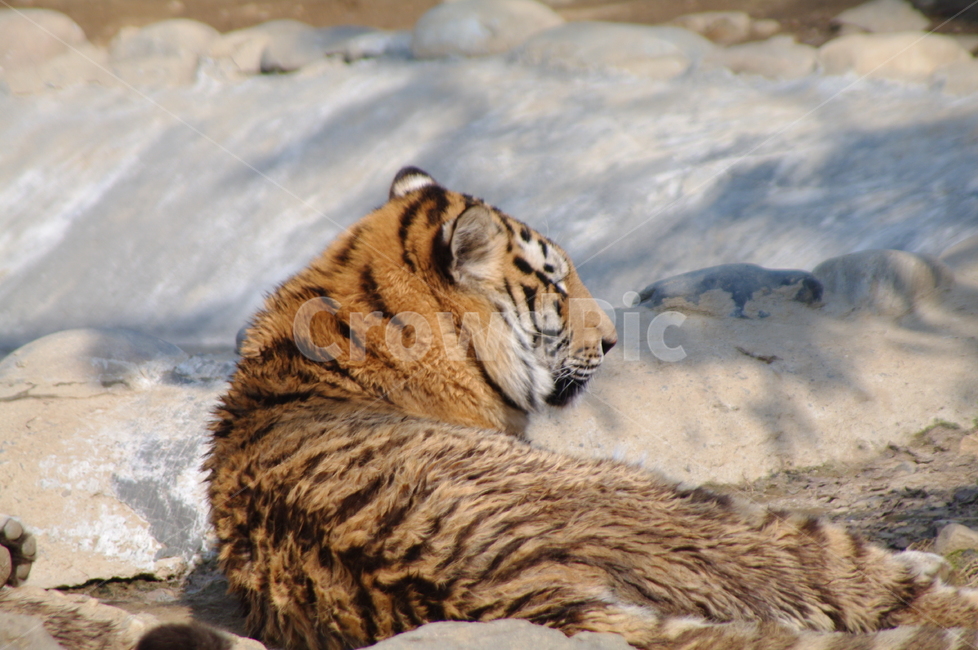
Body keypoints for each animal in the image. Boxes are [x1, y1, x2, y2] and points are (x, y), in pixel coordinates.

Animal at [3, 167, 978, 650]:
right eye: (556, 283)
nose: (614, 342)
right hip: (675, 506)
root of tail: (532, 597)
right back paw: (943, 573)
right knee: (875, 584)